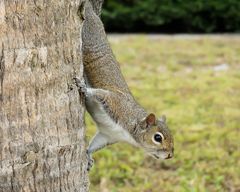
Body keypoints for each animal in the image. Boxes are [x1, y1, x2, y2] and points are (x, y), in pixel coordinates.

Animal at [75, 0, 174, 170]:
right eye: (157, 137)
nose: (170, 155)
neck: (129, 130)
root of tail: (91, 11)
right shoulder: (116, 104)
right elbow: (100, 94)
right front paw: (84, 88)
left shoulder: (108, 135)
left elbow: (95, 144)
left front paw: (88, 155)